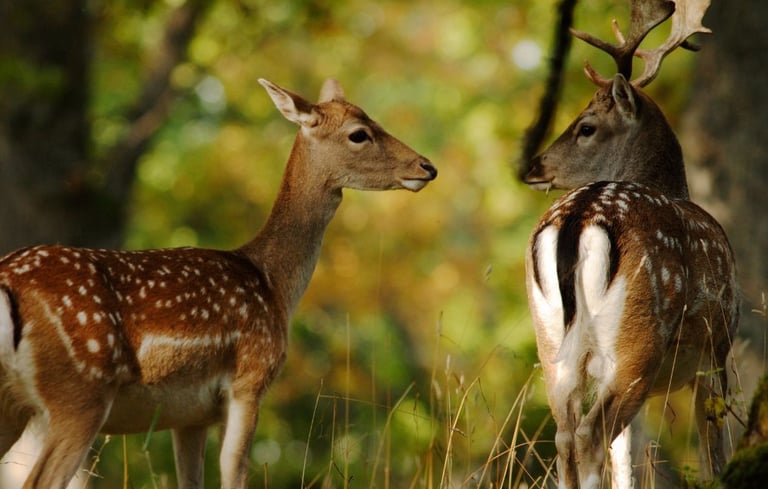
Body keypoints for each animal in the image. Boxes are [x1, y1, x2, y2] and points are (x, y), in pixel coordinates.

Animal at [0, 77, 437, 489]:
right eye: (359, 133)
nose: (426, 166)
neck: (272, 282)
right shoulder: (250, 377)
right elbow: (233, 471)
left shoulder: (189, 413)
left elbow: (191, 479)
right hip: (80, 391)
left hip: (16, 404)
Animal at [521, 1, 738, 488]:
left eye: (586, 127)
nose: (533, 167)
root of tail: (579, 217)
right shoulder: (718, 345)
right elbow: (713, 451)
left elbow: (629, 460)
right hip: (639, 336)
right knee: (590, 434)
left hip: (553, 343)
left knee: (566, 434)